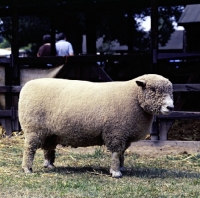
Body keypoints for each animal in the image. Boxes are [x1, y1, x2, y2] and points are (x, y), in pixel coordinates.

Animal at [18, 74, 173, 178]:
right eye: (153, 90)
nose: (170, 107)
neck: (134, 97)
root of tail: (27, 85)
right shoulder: (116, 132)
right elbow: (116, 153)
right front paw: (116, 172)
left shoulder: (124, 134)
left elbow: (122, 153)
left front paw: (121, 167)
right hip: (33, 129)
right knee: (29, 149)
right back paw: (27, 169)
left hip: (50, 132)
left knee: (48, 148)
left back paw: (49, 164)